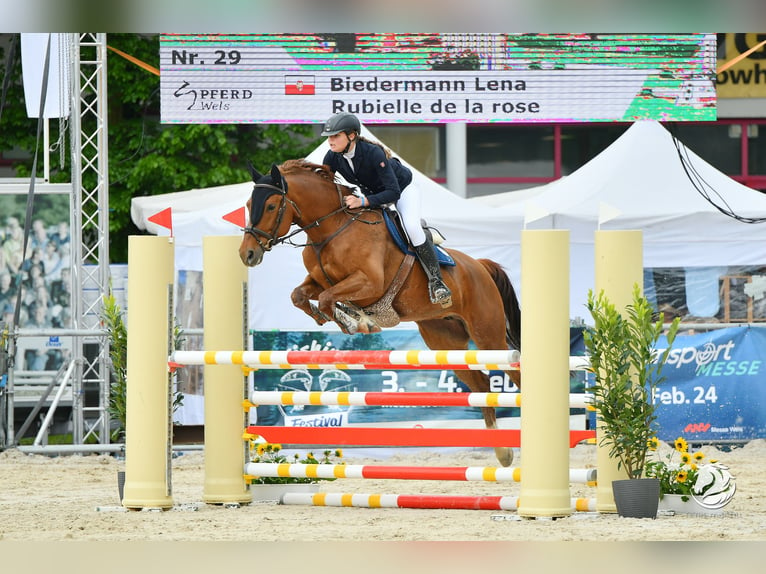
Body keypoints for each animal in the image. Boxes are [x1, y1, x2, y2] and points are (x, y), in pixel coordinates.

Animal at [240, 160, 520, 466]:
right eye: (248, 204)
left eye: (270, 206)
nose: (247, 254)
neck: (331, 230)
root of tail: (480, 266)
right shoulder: (320, 281)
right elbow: (301, 296)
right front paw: (338, 317)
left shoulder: (369, 283)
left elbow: (328, 298)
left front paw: (356, 321)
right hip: (445, 341)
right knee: (481, 384)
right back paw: (502, 452)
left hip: (488, 335)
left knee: (514, 371)